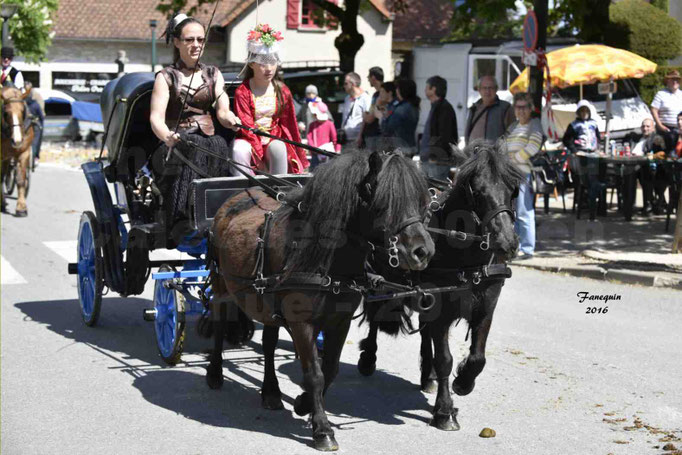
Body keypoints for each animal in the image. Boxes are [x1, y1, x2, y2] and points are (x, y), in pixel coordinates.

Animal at [0, 87, 33, 219]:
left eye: (23, 110)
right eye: (5, 113)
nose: (17, 140)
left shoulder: (24, 152)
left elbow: (20, 180)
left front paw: (21, 207)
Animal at [206, 151, 436, 452]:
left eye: (421, 201)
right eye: (385, 201)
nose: (424, 251)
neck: (325, 261)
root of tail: (234, 198)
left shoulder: (339, 322)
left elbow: (330, 369)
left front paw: (304, 404)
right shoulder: (302, 323)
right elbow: (314, 374)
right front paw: (323, 430)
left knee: (268, 344)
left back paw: (271, 392)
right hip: (222, 287)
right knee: (219, 323)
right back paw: (215, 374)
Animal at [356, 141, 520, 432]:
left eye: (514, 190)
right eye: (477, 192)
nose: (507, 243)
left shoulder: (486, 305)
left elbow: (478, 356)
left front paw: (463, 382)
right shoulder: (441, 308)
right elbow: (445, 359)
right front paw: (444, 411)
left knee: (424, 333)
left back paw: (427, 376)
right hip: (380, 283)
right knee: (375, 318)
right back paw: (368, 359)